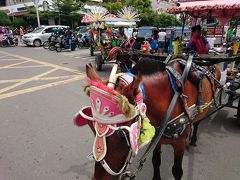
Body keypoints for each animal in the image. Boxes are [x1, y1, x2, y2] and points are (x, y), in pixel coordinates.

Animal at [81, 59, 220, 180]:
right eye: (92, 127)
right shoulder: (157, 137)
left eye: (123, 135)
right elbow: (156, 161)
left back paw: (193, 139)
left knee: (197, 122)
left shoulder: (179, 143)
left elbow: (177, 171)